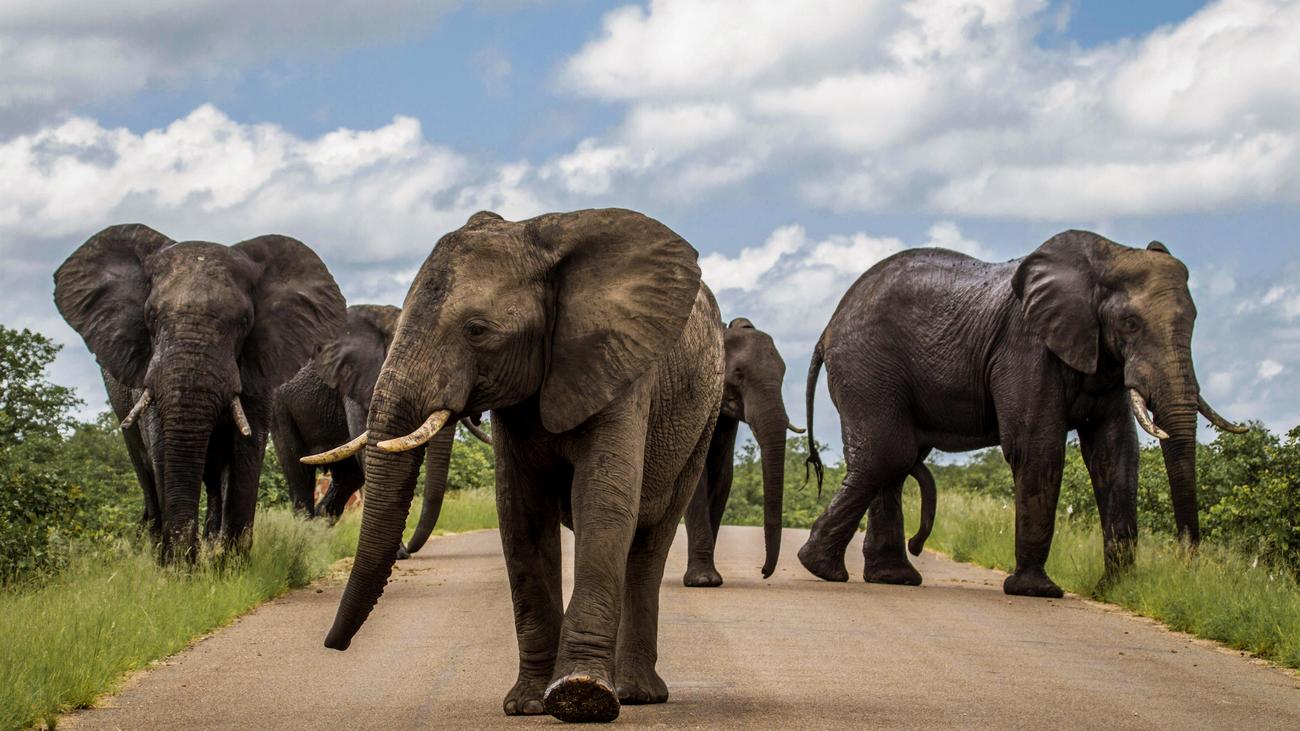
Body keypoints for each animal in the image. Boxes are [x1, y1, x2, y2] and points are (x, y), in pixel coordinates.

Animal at [54, 222, 345, 556]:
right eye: (150, 316)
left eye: (244, 321)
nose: (183, 558)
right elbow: (163, 449)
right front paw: (180, 566)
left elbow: (245, 450)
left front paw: (230, 564)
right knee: (146, 470)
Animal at [269, 299, 488, 554]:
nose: (410, 549)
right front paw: (398, 552)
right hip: (279, 405)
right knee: (298, 471)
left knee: (347, 478)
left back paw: (320, 540)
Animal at [308, 208, 728, 717]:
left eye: (476, 330)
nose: (332, 645)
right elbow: (520, 514)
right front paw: (529, 704)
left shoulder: (621, 366)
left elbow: (603, 504)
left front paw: (581, 695)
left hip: (701, 418)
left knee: (652, 539)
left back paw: (635, 694)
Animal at [681, 316, 800, 582]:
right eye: (738, 374)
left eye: (784, 374)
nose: (764, 573)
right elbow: (697, 475)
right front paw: (703, 581)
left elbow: (723, 475)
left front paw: (710, 579)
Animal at [795, 232, 1242, 598]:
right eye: (1130, 323)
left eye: (1194, 321)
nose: (1188, 564)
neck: (1106, 257)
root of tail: (828, 328)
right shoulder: (1026, 345)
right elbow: (1036, 447)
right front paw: (1038, 592)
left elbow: (1115, 454)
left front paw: (1114, 589)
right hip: (868, 368)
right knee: (889, 453)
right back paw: (824, 569)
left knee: (894, 461)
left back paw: (890, 578)